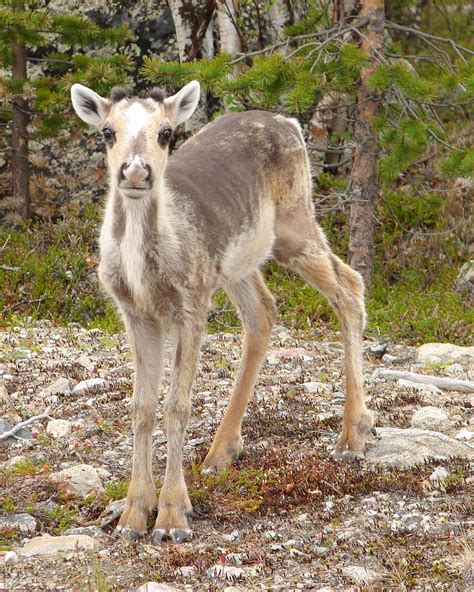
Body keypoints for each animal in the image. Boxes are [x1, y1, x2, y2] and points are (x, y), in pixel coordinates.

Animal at [71, 81, 374, 544]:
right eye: (107, 131)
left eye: (166, 133)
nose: (136, 172)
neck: (143, 267)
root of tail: (289, 122)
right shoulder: (134, 311)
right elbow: (141, 406)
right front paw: (133, 513)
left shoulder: (192, 302)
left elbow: (177, 405)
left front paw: (172, 516)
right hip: (240, 260)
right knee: (264, 311)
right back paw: (222, 449)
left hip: (294, 221)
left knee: (349, 285)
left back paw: (353, 433)